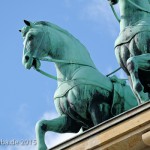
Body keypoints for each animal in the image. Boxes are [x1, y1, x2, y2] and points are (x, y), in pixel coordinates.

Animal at [20, 20, 138, 150]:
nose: (26, 60)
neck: (71, 75)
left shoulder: (98, 105)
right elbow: (41, 124)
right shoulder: (70, 120)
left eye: (31, 37)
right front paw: (42, 147)